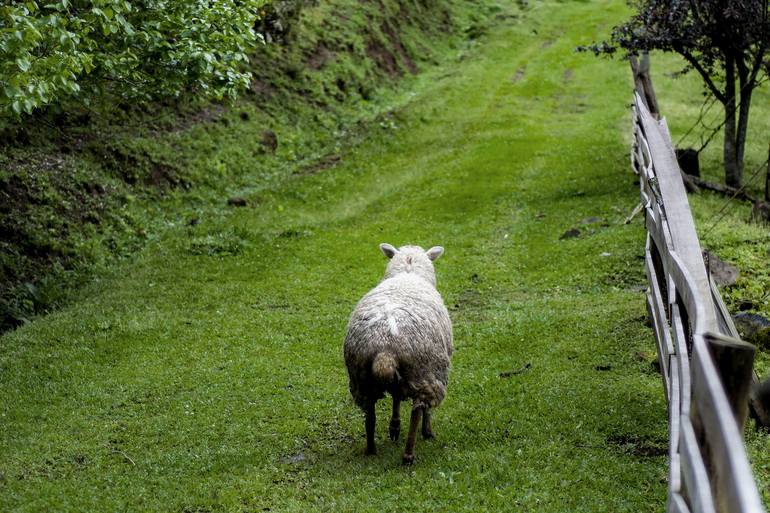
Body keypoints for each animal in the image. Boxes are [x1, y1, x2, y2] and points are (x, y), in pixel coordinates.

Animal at [342, 242, 450, 462]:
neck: (408, 273)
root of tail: (385, 347)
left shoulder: (397, 378)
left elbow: (396, 396)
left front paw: (394, 426)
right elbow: (417, 406)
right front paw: (426, 431)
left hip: (361, 379)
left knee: (370, 413)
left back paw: (371, 449)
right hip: (426, 373)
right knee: (418, 410)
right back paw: (409, 454)